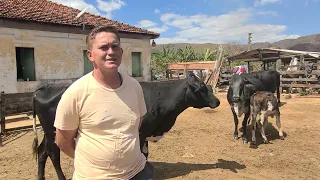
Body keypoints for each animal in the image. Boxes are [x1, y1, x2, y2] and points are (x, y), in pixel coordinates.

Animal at [32, 72, 220, 180]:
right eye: (201, 89)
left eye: (210, 87)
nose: (217, 101)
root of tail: (45, 87)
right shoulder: (141, 132)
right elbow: (142, 154)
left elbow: (145, 154)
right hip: (55, 132)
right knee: (53, 153)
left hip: (48, 132)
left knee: (42, 151)